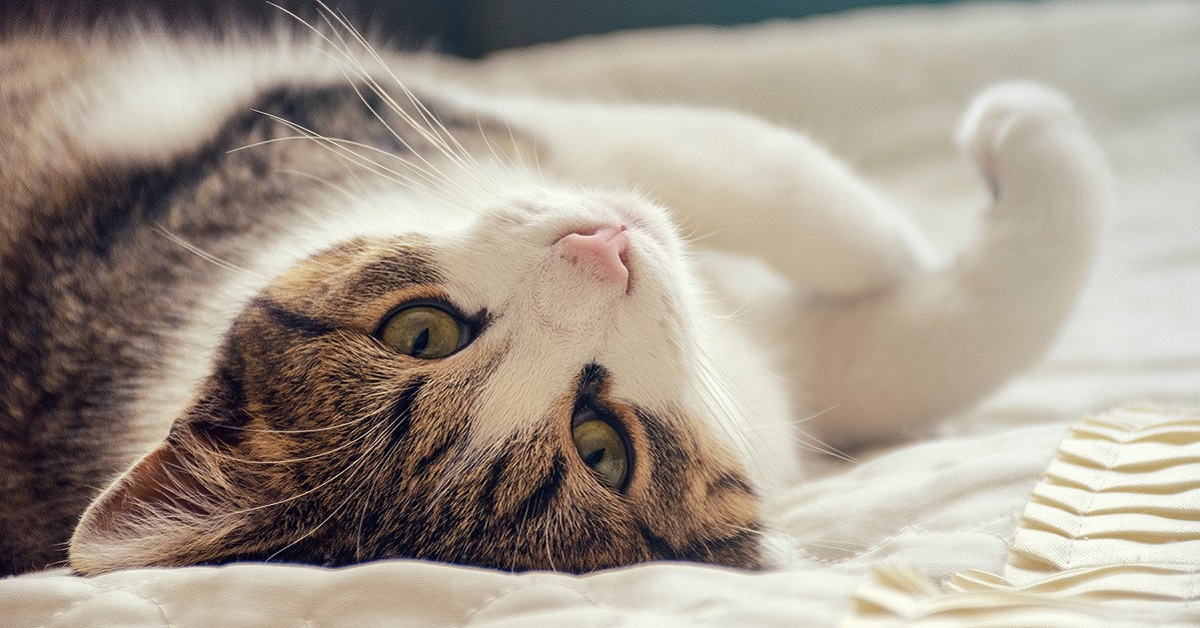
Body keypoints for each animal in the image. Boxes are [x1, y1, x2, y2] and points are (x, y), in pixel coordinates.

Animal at [0, 14, 1113, 578]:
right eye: (601, 446)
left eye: (420, 331)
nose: (602, 249)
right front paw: (1016, 140)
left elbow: (754, 176)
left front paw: (896, 237)